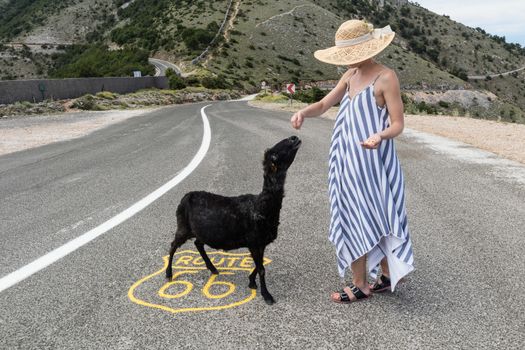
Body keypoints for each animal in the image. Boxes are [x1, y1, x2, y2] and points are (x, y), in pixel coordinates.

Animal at [166, 135, 300, 304]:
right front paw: (267, 295)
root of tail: (186, 196)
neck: (262, 207)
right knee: (173, 246)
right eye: (275, 154)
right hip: (183, 226)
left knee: (198, 244)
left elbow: (260, 265)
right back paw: (169, 274)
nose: (294, 138)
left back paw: (212, 268)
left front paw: (251, 282)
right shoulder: (253, 241)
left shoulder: (260, 243)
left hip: (200, 231)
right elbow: (262, 268)